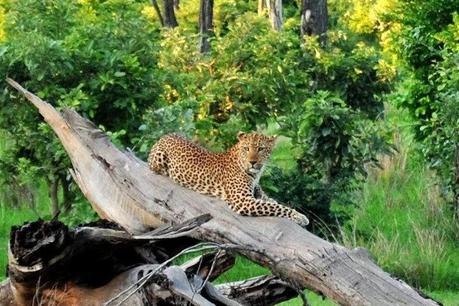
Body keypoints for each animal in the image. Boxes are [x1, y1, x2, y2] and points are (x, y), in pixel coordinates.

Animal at [149, 130, 310, 226]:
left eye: (261, 149)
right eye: (246, 149)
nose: (253, 162)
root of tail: (165, 135)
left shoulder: (256, 193)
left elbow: (271, 201)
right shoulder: (242, 200)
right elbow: (275, 207)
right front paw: (300, 217)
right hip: (158, 159)